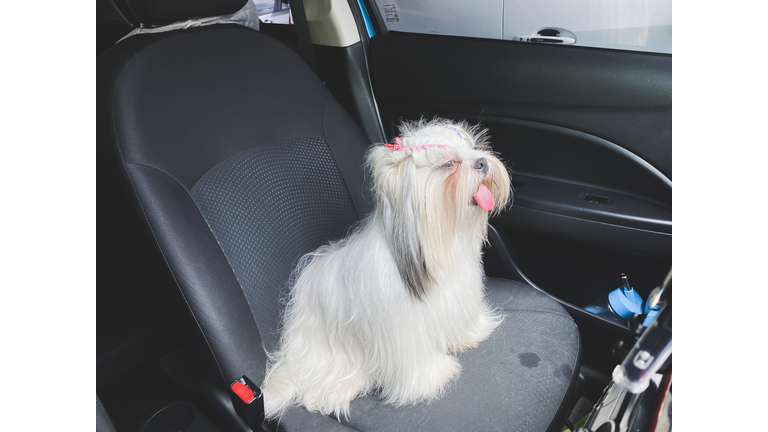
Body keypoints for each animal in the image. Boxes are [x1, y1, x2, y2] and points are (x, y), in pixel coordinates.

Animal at [262, 117, 510, 418]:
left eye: (474, 148)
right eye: (449, 163)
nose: (483, 162)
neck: (434, 244)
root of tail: (290, 356)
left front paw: (467, 337)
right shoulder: (402, 328)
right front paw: (435, 377)